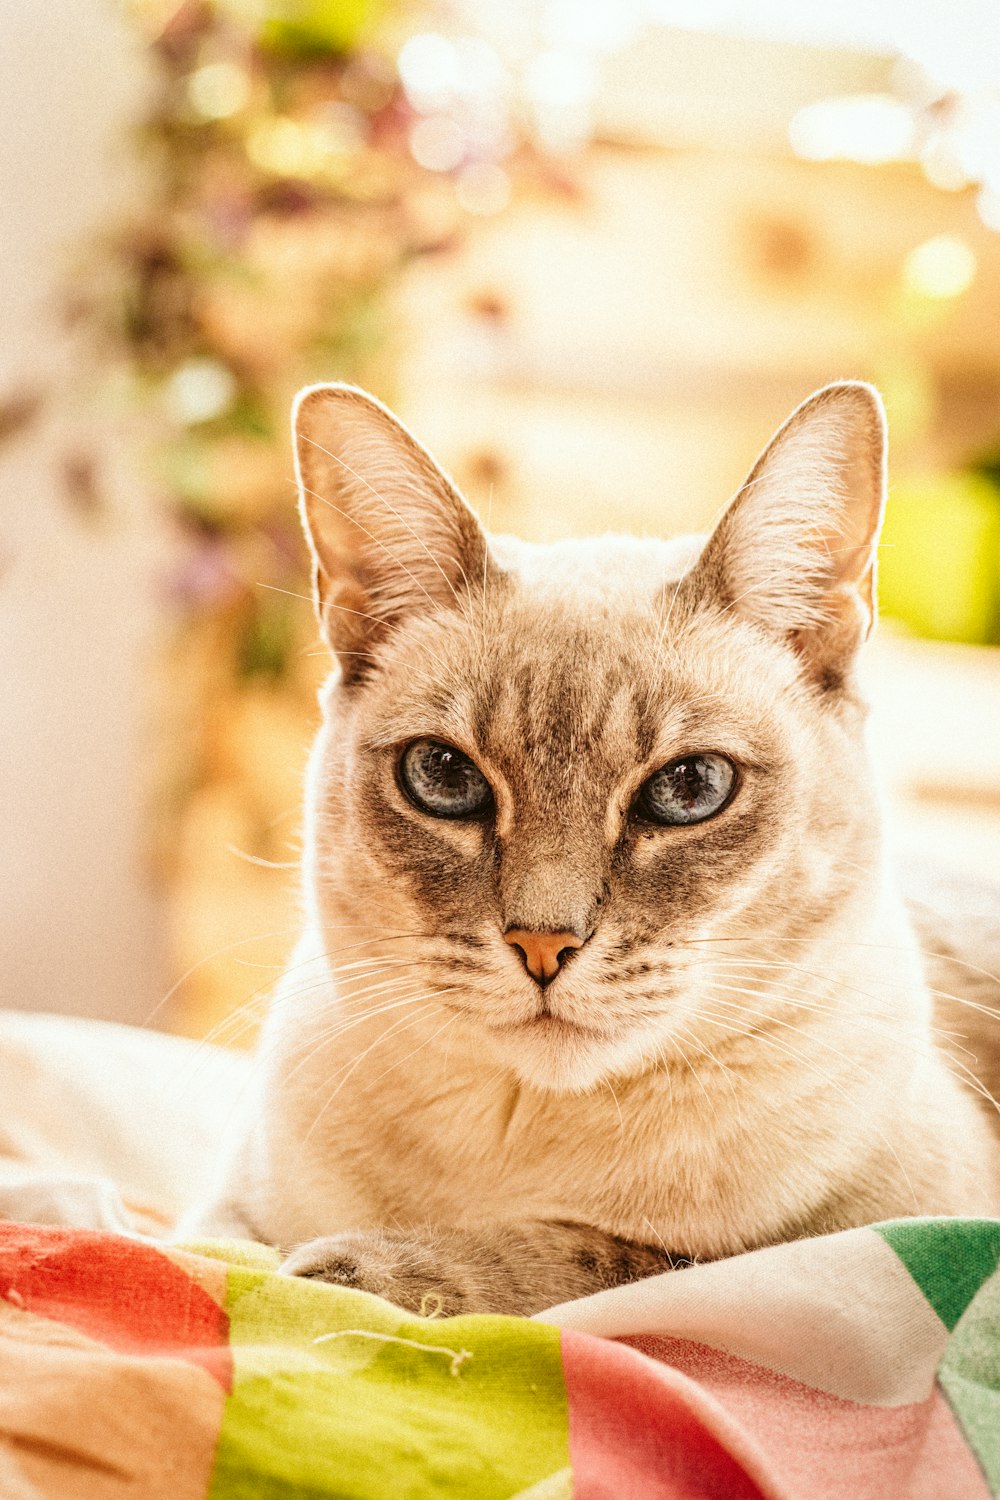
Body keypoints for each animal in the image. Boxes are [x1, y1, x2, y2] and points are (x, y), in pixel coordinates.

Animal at [193, 378, 1000, 1314]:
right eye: (444, 777)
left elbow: (601, 1257)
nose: (543, 945)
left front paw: (367, 1271)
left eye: (688, 789)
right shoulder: (219, 1208)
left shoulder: (880, 1234)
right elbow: (221, 1249)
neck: (521, 1131)